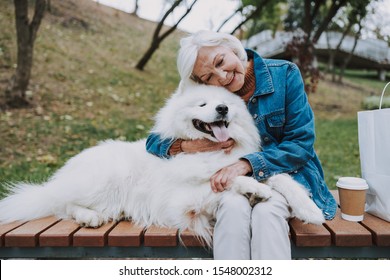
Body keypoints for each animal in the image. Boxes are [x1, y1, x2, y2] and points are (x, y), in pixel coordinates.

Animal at [0, 84, 322, 246]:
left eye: (226, 105)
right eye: (203, 104)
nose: (222, 108)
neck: (211, 151)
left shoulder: (248, 164)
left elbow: (280, 178)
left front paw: (310, 209)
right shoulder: (184, 200)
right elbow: (225, 180)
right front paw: (255, 189)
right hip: (105, 180)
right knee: (62, 204)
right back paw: (88, 217)